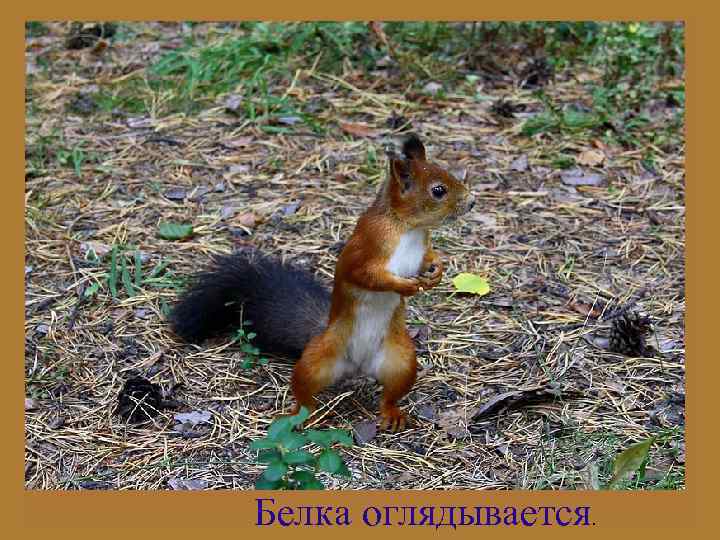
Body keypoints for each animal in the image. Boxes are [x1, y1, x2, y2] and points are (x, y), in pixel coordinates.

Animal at [170, 133, 475, 431]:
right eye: (438, 190)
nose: (471, 202)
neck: (408, 228)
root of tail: (357, 367)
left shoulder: (421, 247)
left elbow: (428, 258)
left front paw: (437, 270)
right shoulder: (366, 247)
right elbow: (366, 276)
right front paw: (404, 286)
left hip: (401, 361)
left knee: (390, 394)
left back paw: (392, 413)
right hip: (318, 359)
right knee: (304, 388)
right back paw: (305, 415)